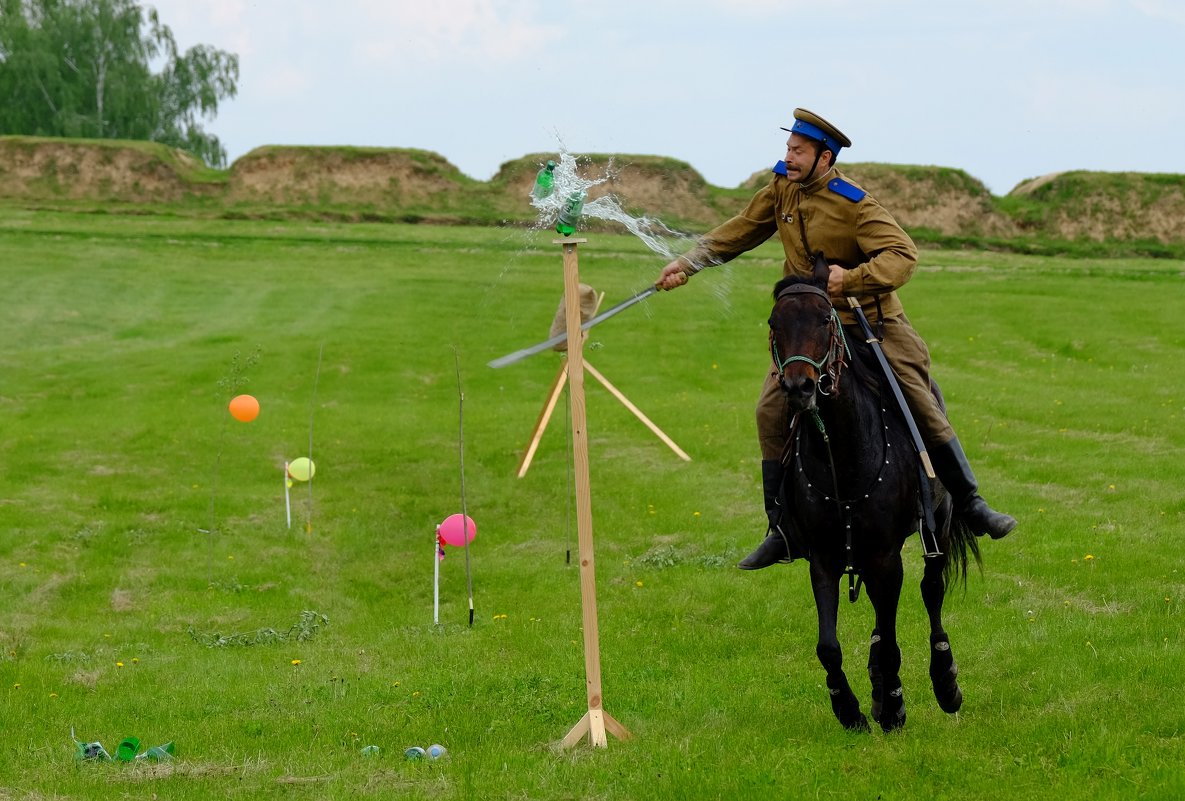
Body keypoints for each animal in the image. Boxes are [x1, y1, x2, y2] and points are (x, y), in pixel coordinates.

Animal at [767, 263, 981, 729]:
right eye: (775, 323)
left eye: (825, 320)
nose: (799, 388)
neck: (844, 452)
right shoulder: (824, 558)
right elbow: (829, 646)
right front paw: (849, 708)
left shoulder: (886, 555)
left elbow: (895, 634)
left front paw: (896, 704)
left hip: (933, 529)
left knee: (930, 591)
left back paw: (944, 683)